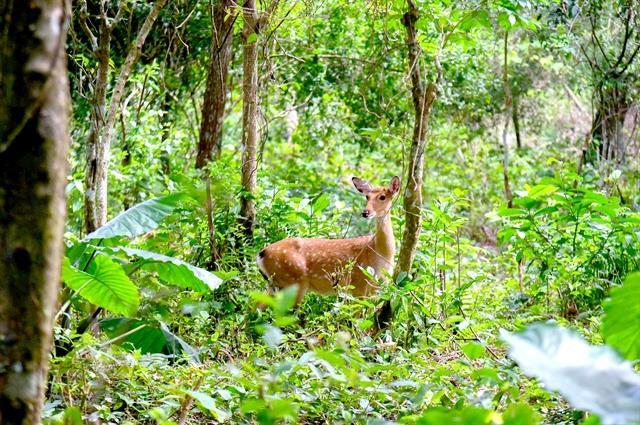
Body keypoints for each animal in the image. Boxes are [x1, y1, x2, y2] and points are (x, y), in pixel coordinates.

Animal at [257, 176, 400, 304]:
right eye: (367, 197)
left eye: (382, 197)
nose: (365, 212)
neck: (380, 254)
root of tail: (261, 254)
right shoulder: (359, 283)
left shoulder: (378, 287)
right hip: (293, 281)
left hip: (275, 284)